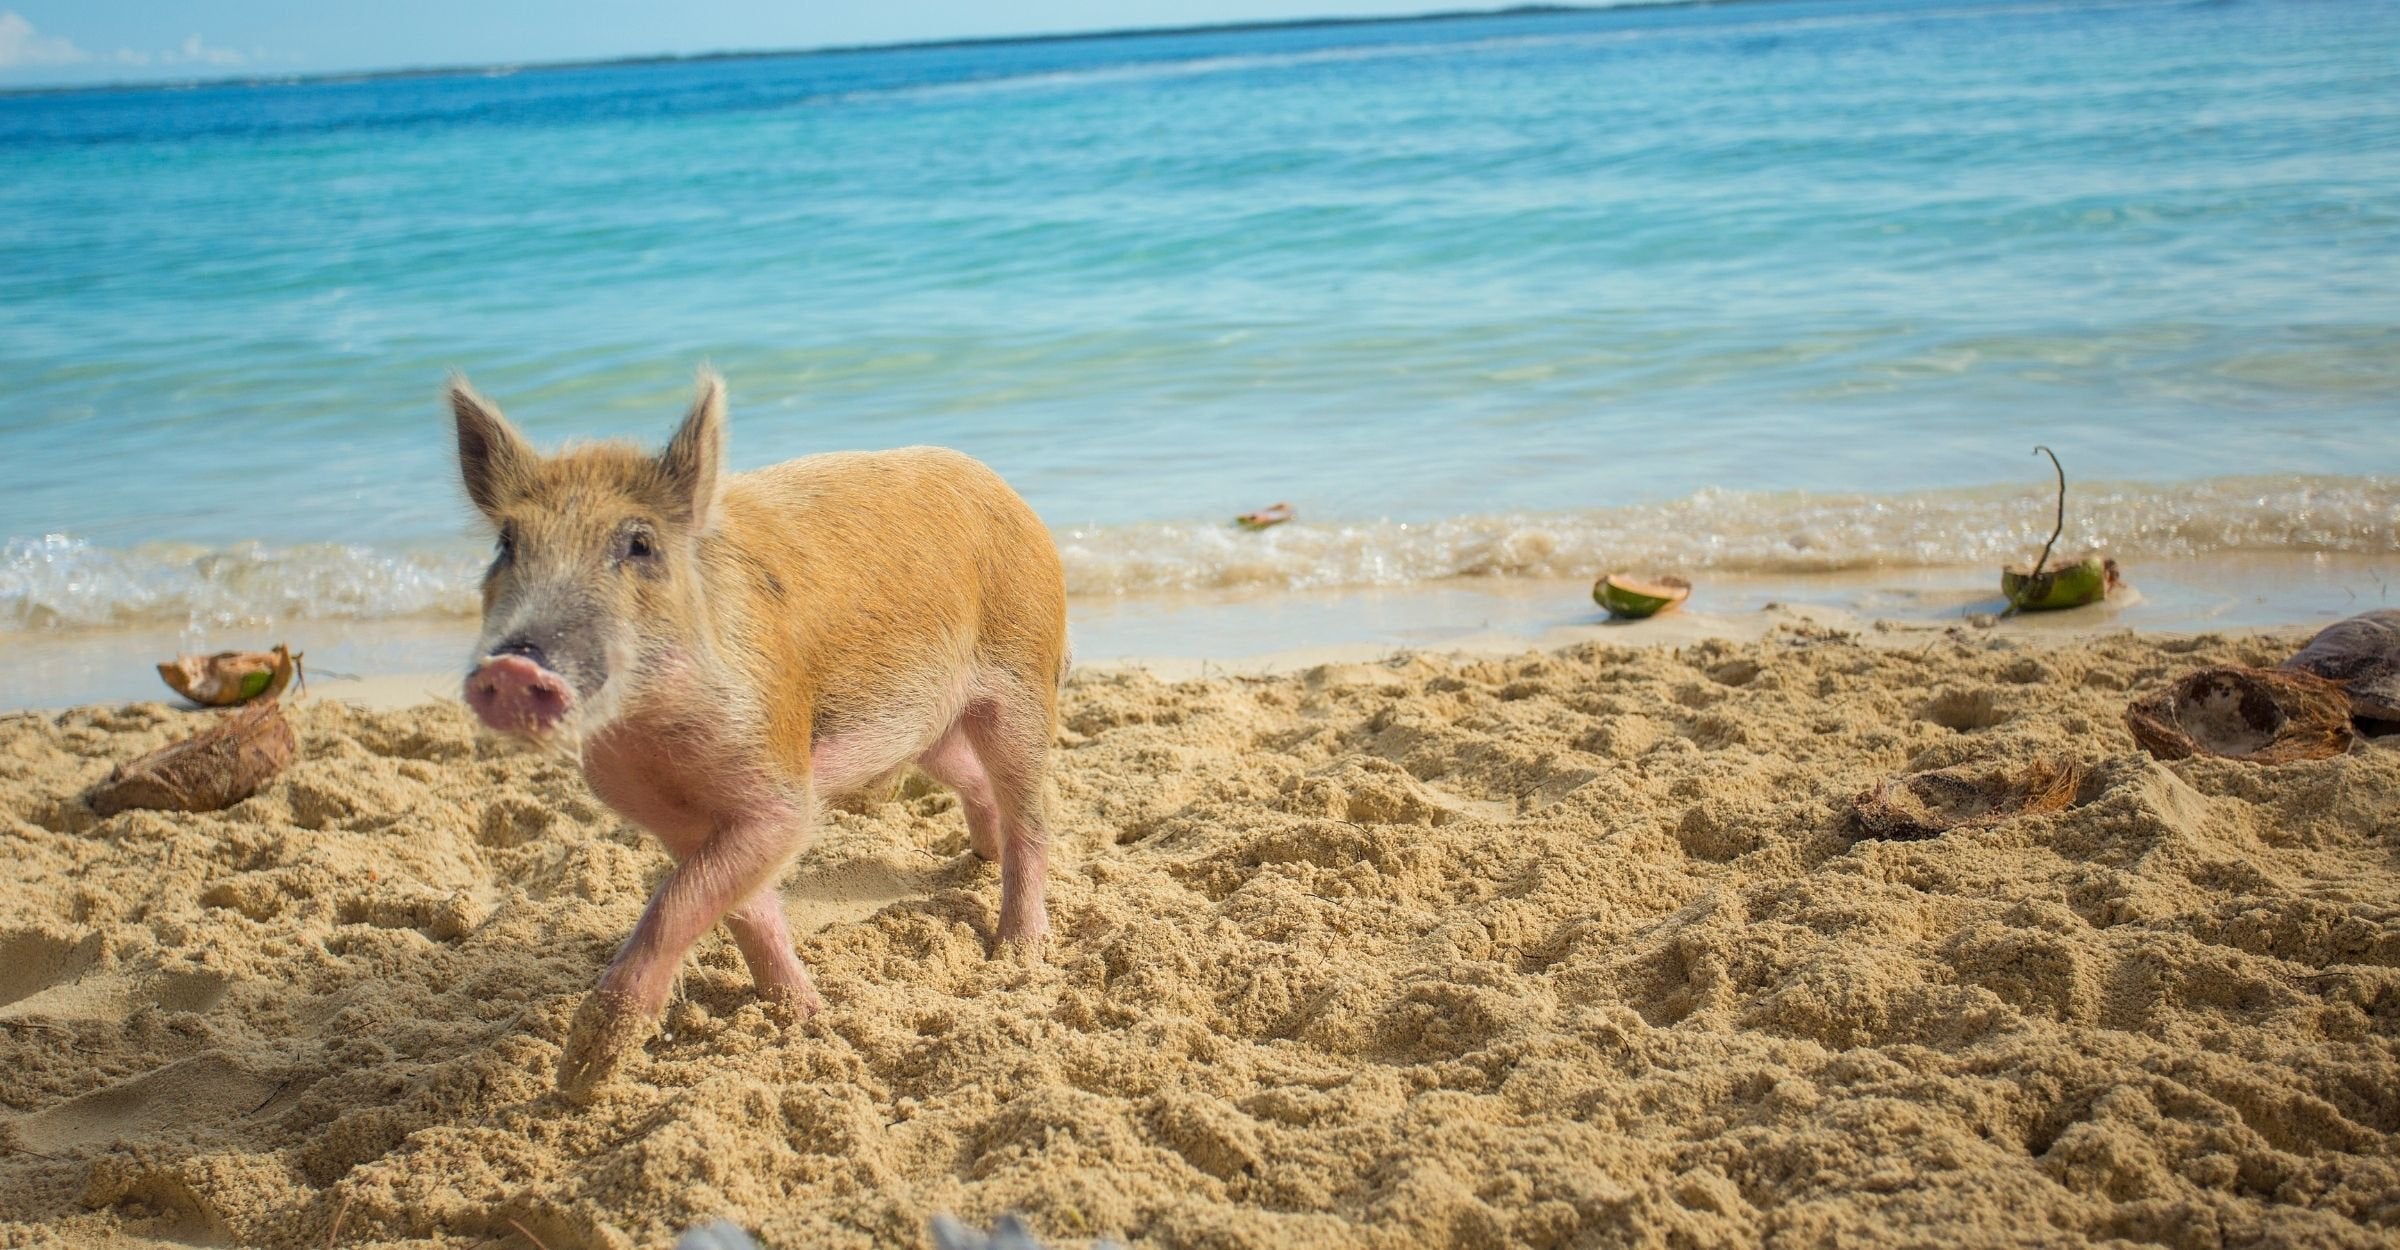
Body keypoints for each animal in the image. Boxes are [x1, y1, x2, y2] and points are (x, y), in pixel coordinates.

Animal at [451, 367, 1070, 1094]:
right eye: (506, 545)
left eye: (639, 545)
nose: (514, 664)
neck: (653, 739)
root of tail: (1011, 496)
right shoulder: (668, 814)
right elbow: (741, 908)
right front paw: (805, 1017)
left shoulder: (777, 779)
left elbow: (679, 900)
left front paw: (581, 1075)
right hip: (930, 727)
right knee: (973, 781)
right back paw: (979, 858)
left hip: (1022, 671)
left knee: (1032, 811)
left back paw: (1019, 951)